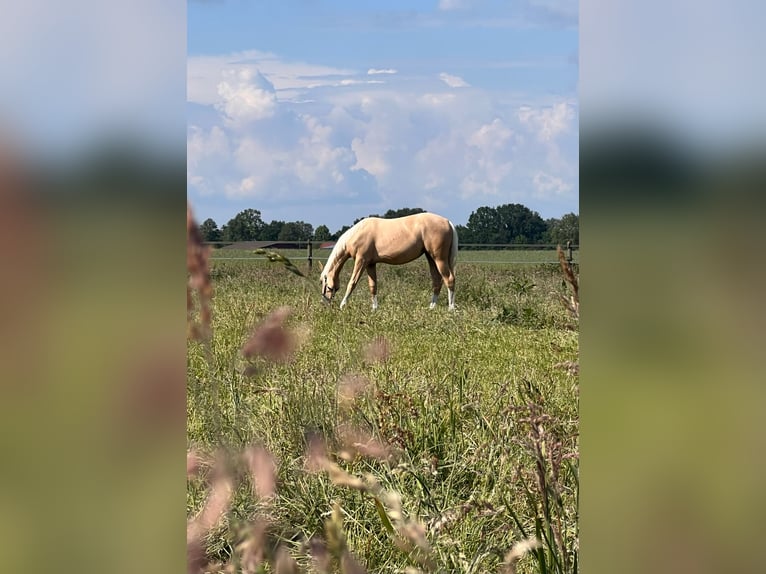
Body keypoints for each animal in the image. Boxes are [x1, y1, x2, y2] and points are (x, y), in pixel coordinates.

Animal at [320, 212, 460, 310]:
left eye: (324, 282)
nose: (325, 303)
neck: (357, 233)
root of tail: (447, 222)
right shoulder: (370, 264)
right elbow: (373, 286)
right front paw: (374, 309)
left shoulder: (361, 261)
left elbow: (352, 283)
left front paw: (343, 305)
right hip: (431, 258)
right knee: (437, 281)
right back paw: (431, 307)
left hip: (439, 259)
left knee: (449, 279)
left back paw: (451, 309)